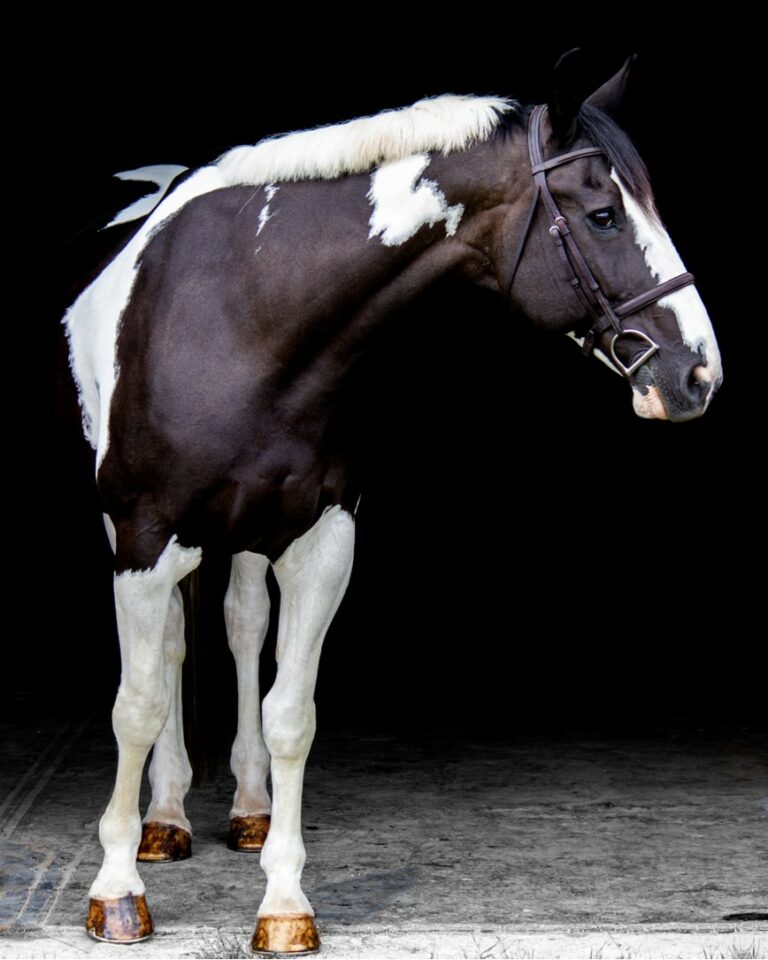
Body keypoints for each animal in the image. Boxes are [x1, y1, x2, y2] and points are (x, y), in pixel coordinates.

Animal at [61, 52, 720, 952]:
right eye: (604, 215)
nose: (698, 374)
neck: (240, 314)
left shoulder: (322, 542)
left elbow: (291, 713)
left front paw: (284, 905)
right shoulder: (143, 536)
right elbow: (135, 704)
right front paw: (117, 892)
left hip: (247, 536)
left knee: (239, 627)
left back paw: (245, 807)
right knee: (167, 651)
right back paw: (164, 818)